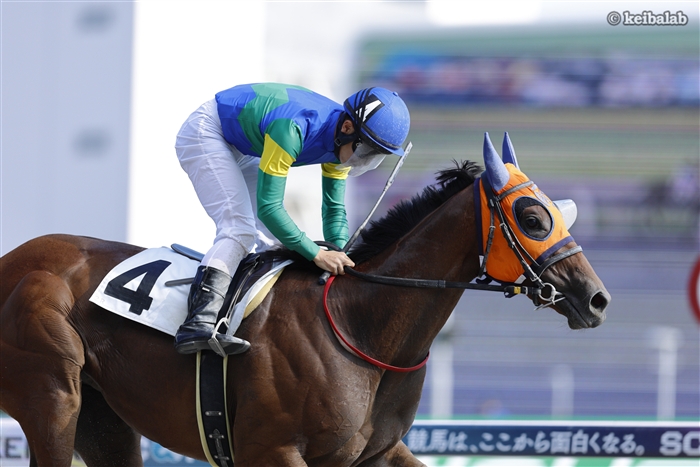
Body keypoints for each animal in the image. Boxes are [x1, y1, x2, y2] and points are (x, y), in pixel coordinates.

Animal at [0, 133, 610, 466]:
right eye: (532, 217)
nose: (597, 299)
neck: (361, 324)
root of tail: (14, 260)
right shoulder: (272, 452)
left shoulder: (376, 453)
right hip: (52, 397)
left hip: (103, 418)